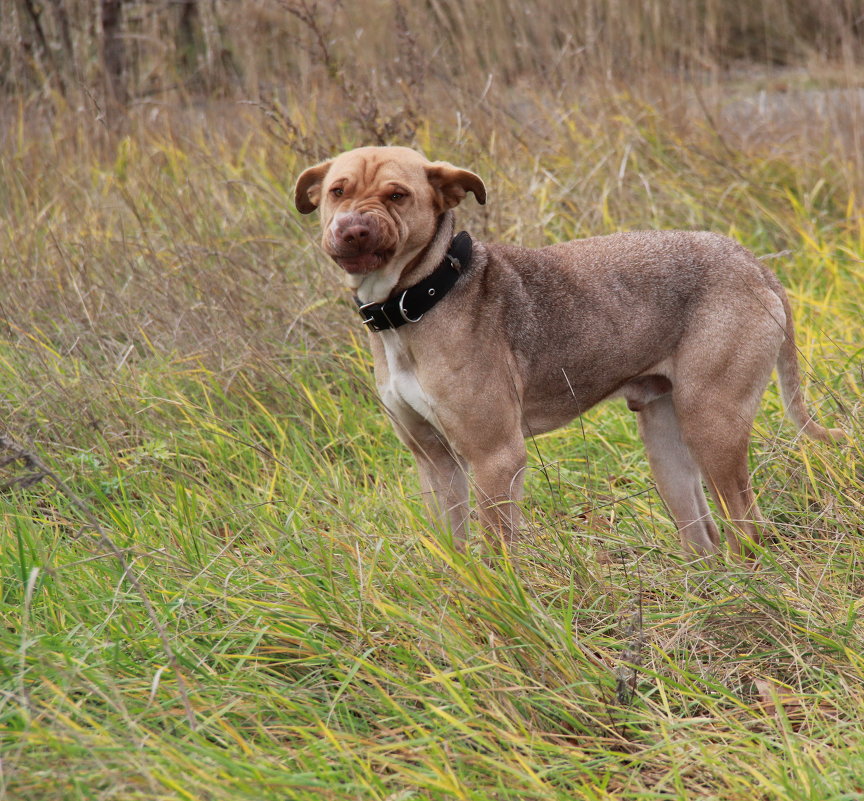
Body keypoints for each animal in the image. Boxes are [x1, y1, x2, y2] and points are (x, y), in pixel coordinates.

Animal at [296, 145, 836, 556]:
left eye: (398, 195)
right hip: (666, 441)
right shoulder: (434, 461)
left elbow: (496, 554)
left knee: (747, 527)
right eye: (337, 191)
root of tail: (752, 262)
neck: (419, 298)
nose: (352, 229)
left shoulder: (496, 457)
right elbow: (458, 554)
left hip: (713, 425)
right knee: (703, 536)